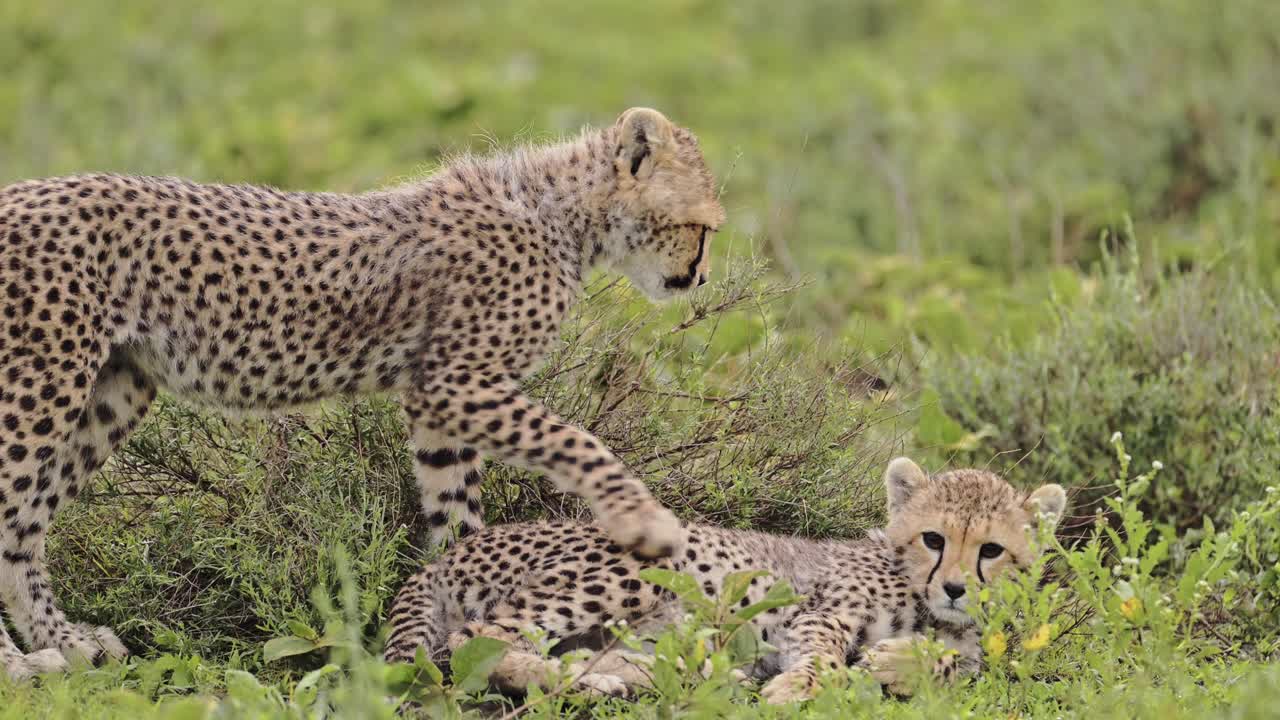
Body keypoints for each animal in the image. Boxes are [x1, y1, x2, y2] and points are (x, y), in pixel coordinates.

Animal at [0, 107, 725, 680]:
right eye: (704, 225)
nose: (699, 278)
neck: (566, 215)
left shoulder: (437, 402)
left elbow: (457, 510)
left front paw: (461, 607)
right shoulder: (456, 379)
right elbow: (580, 441)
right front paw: (646, 523)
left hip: (110, 390)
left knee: (22, 528)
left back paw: (65, 643)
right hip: (38, 385)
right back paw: (19, 666)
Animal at [382, 457, 1067, 703]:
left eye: (991, 551)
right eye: (934, 540)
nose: (954, 587)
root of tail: (451, 551)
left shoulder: (969, 646)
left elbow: (958, 664)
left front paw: (900, 661)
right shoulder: (820, 611)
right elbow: (824, 656)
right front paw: (798, 687)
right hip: (638, 568)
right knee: (477, 642)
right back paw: (593, 684)